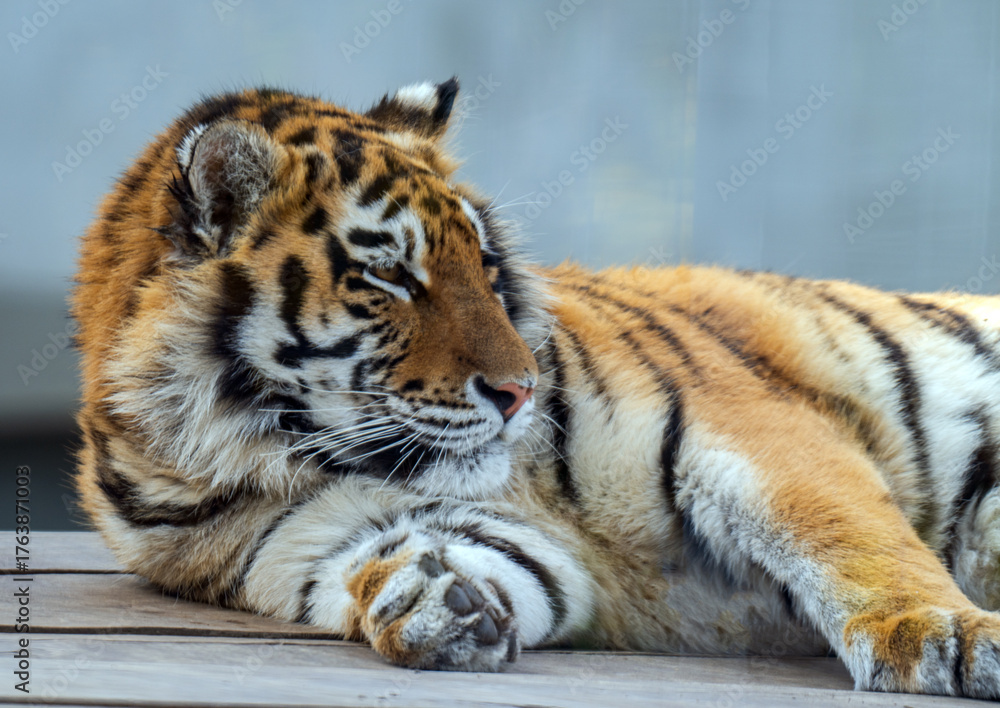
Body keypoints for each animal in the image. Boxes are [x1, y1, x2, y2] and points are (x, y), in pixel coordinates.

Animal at [72, 77, 1000, 697]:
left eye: (483, 266)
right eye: (390, 274)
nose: (517, 390)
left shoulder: (752, 433)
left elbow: (854, 541)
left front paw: (945, 636)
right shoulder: (314, 543)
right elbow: (443, 562)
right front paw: (425, 598)